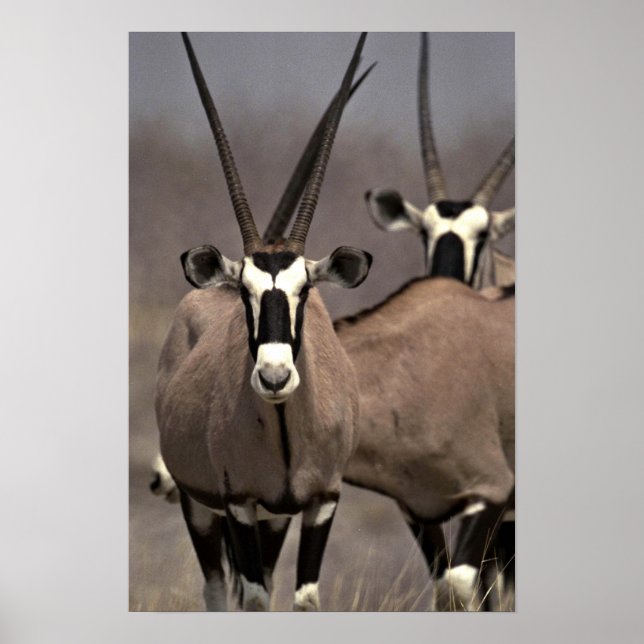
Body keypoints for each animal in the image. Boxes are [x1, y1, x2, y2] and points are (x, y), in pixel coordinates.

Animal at [156, 32, 373, 611]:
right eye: (245, 292)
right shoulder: (238, 502)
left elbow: (303, 598)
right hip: (199, 505)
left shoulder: (322, 500)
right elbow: (250, 598)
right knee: (216, 589)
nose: (274, 377)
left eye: (305, 291)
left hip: (274, 520)